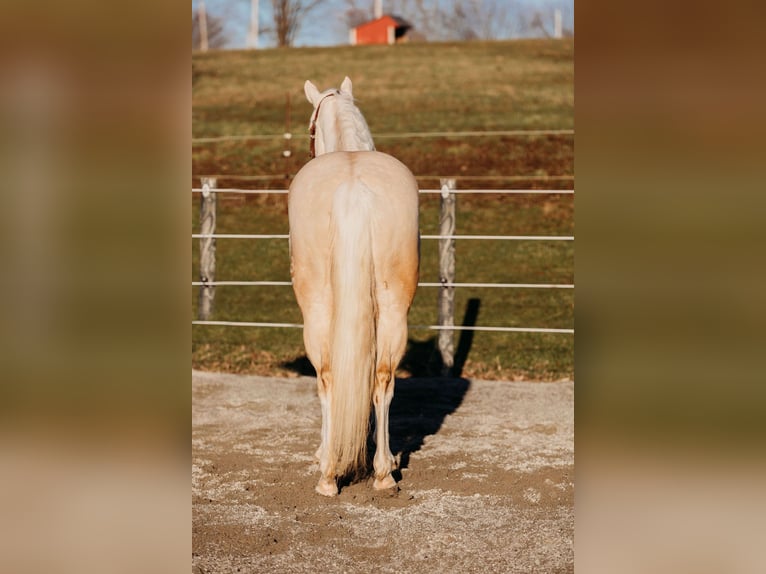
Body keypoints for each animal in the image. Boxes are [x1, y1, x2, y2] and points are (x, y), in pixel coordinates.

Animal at [288, 77, 420, 496]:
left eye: (311, 128)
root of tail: (353, 190)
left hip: (315, 310)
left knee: (329, 377)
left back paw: (328, 473)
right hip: (394, 309)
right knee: (383, 378)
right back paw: (382, 471)